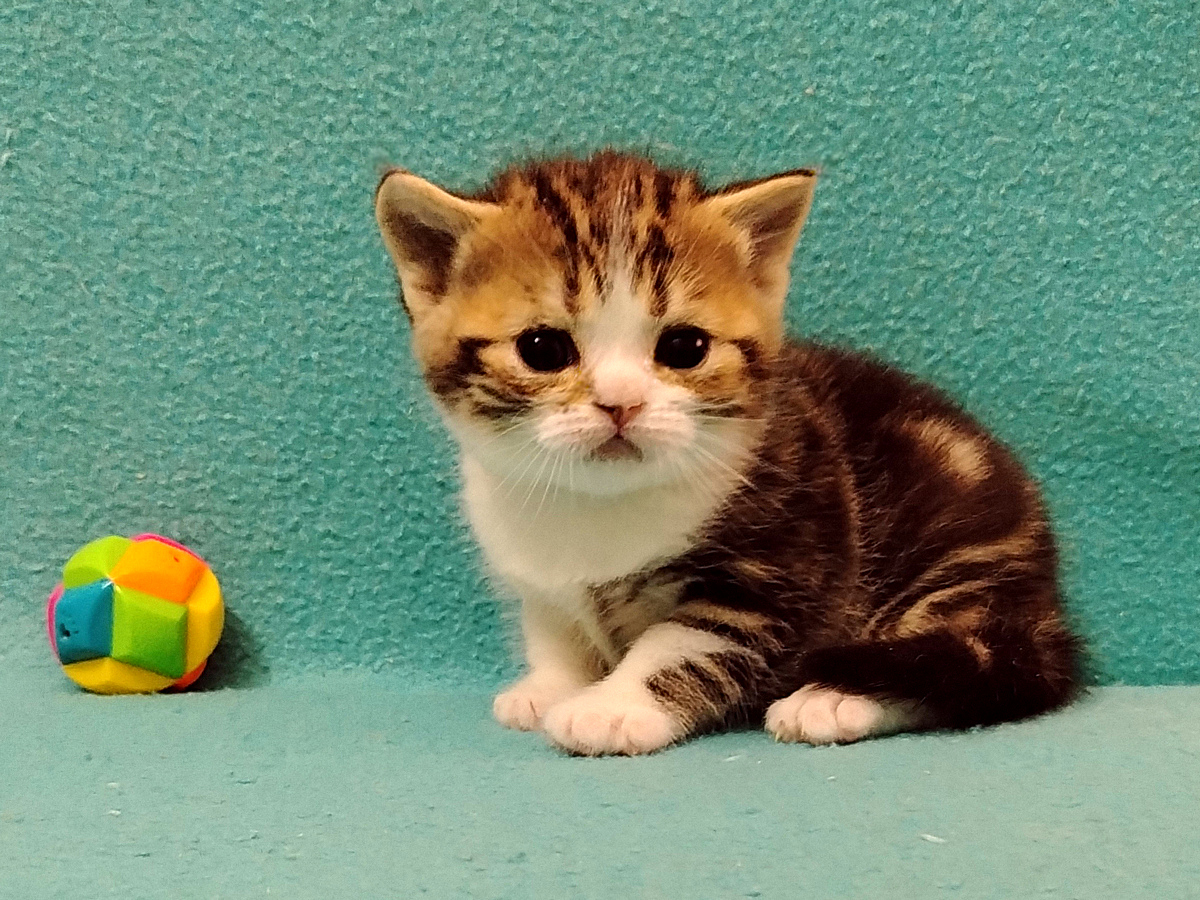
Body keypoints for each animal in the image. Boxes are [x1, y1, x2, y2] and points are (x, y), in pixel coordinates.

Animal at [374, 150, 1082, 755]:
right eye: (543, 349)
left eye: (683, 347)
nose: (620, 402)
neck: (598, 509)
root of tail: (1045, 608)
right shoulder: (536, 573)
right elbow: (553, 627)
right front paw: (549, 687)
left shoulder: (779, 567)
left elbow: (680, 644)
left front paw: (611, 708)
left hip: (959, 562)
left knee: (951, 666)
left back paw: (832, 700)